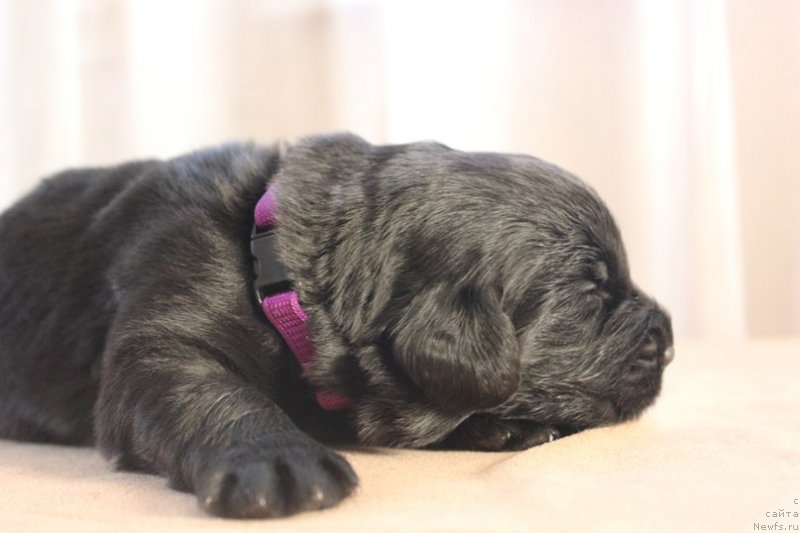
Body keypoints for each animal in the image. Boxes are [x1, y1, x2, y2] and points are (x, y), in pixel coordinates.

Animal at [0, 133, 676, 516]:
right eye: (592, 291)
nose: (668, 340)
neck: (272, 271)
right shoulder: (167, 326)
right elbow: (211, 390)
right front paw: (279, 459)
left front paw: (507, 426)